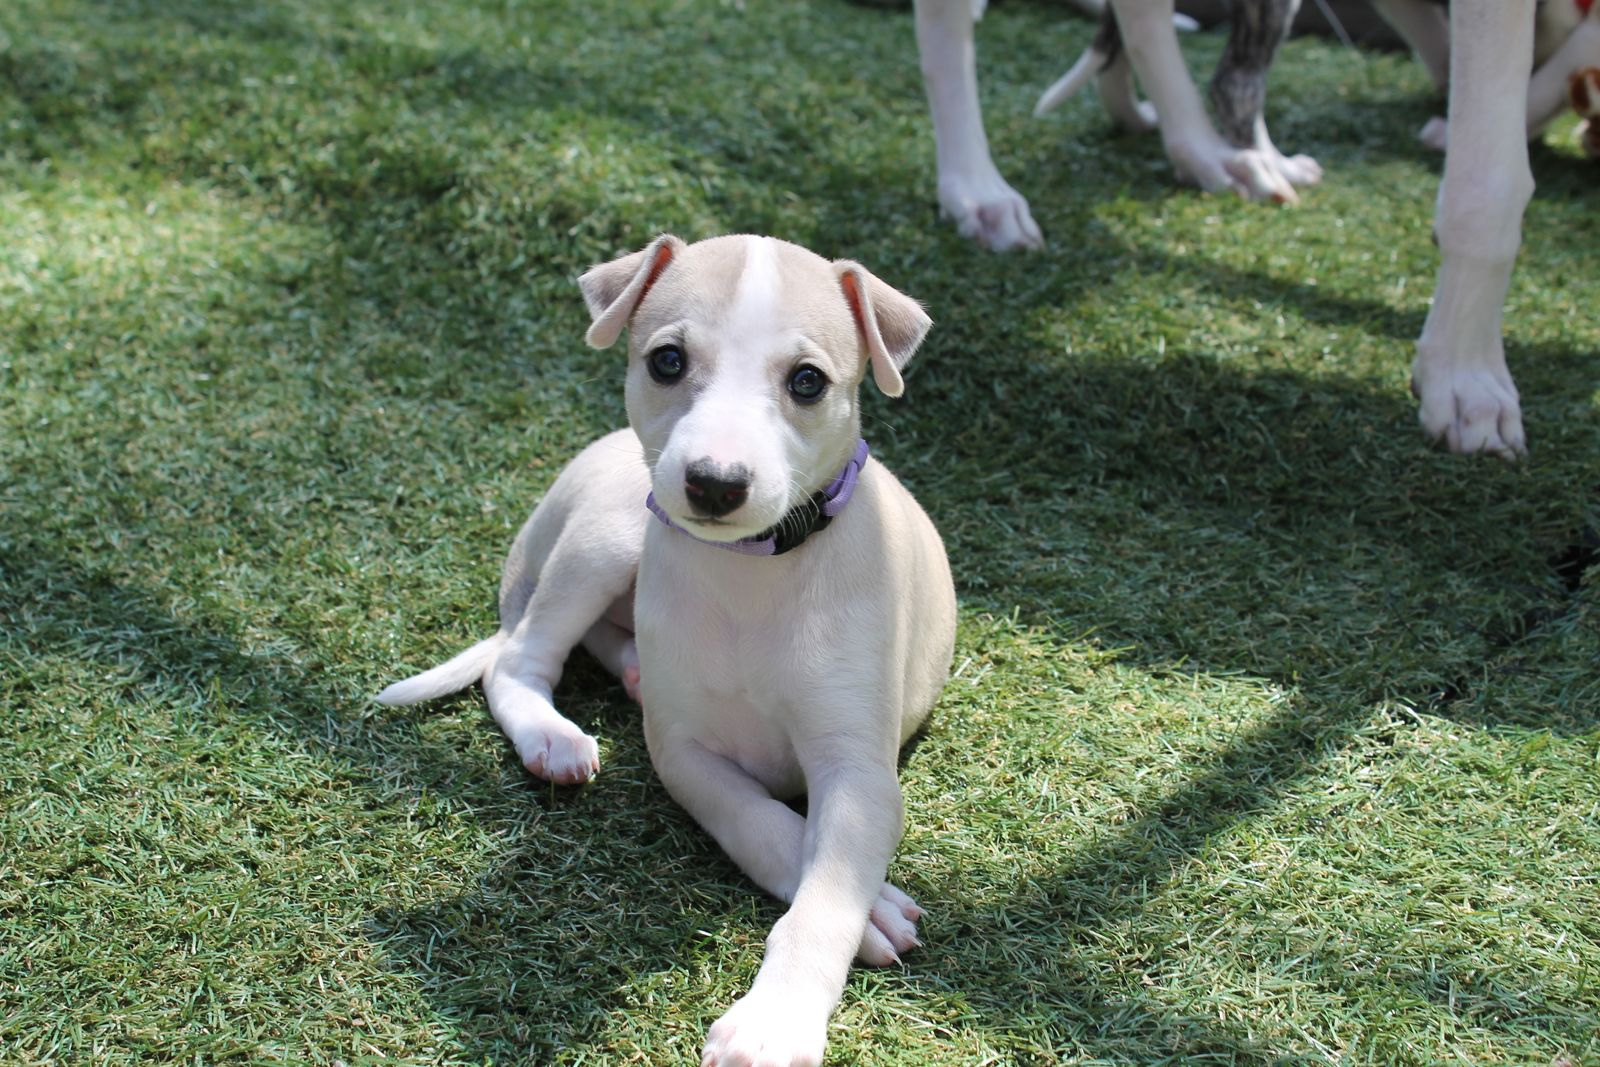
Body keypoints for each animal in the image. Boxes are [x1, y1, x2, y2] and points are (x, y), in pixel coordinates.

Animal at [378, 233, 957, 1067]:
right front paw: (862, 914)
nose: (715, 483)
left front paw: (775, 1023)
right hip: (607, 534)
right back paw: (553, 736)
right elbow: (759, 821)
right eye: (668, 361)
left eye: (808, 381)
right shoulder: (684, 752)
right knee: (517, 659)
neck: (752, 571)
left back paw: (628, 670)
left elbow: (827, 893)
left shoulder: (859, 769)